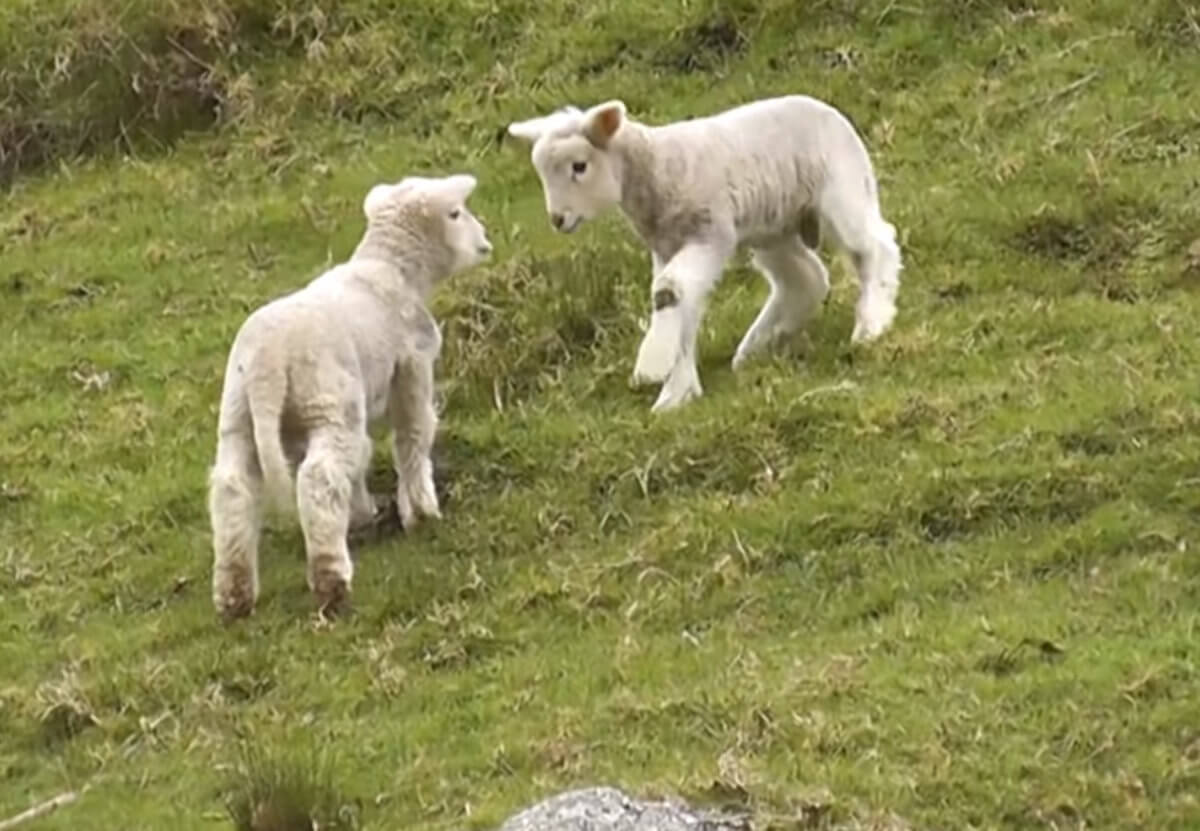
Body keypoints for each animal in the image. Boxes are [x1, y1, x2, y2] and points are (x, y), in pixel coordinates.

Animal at [206, 175, 492, 614]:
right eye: (456, 213)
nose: (484, 239)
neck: (391, 269)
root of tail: (267, 363)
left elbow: (363, 456)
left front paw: (364, 512)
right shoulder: (412, 366)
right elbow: (413, 435)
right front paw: (421, 511)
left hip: (238, 417)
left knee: (232, 489)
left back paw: (234, 595)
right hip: (327, 403)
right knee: (318, 480)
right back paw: (331, 580)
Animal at [504, 94, 902, 413]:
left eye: (579, 166)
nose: (558, 219)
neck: (656, 166)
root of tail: (832, 112)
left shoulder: (710, 234)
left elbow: (667, 292)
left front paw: (653, 366)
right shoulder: (668, 246)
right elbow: (682, 305)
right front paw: (676, 392)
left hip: (840, 191)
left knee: (875, 245)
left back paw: (871, 323)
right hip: (772, 227)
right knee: (805, 278)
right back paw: (757, 347)